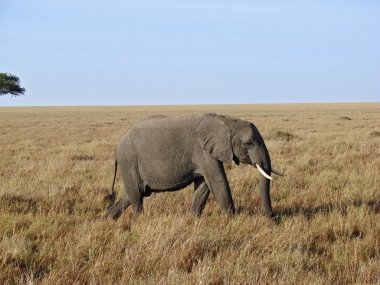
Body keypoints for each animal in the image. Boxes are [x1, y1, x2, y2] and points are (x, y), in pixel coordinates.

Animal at [105, 112, 284, 219]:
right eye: (249, 143)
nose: (274, 218)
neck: (226, 120)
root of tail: (117, 145)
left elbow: (203, 185)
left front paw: (192, 220)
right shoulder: (203, 152)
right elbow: (218, 182)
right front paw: (233, 220)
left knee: (130, 195)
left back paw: (108, 219)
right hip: (129, 161)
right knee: (136, 196)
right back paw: (139, 221)